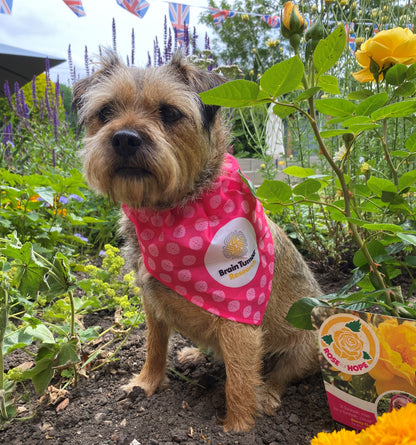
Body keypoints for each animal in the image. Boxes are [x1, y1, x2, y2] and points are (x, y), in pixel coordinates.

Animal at [74, 50, 322, 432]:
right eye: (106, 111)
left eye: (169, 113)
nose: (125, 138)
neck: (173, 210)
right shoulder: (152, 306)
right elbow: (154, 346)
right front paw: (145, 383)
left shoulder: (239, 320)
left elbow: (239, 378)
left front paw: (237, 426)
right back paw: (194, 353)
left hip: (305, 343)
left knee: (279, 373)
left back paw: (266, 395)